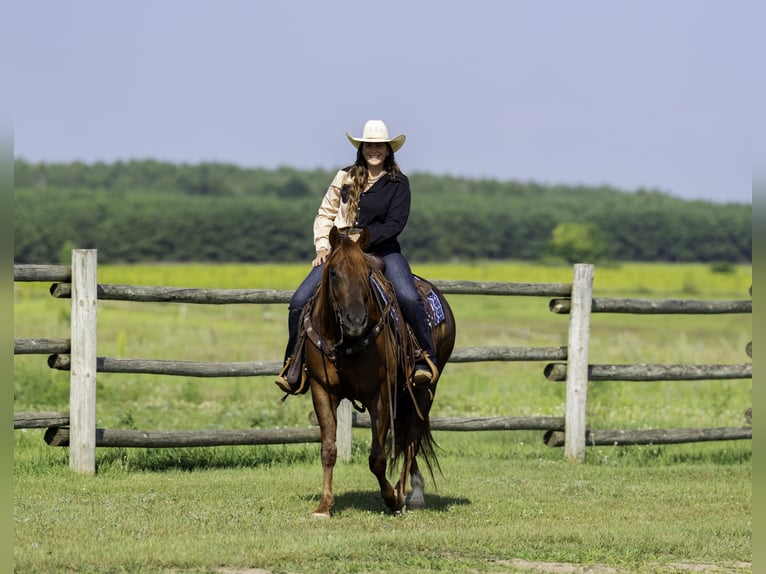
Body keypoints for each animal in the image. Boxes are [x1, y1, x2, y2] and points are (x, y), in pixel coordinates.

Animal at [300, 226, 456, 518]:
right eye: (333, 272)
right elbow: (328, 449)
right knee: (406, 437)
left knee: (411, 439)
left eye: (367, 273)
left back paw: (409, 494)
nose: (355, 321)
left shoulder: (380, 395)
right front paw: (324, 505)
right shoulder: (321, 390)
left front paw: (392, 498)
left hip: (424, 390)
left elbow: (377, 458)